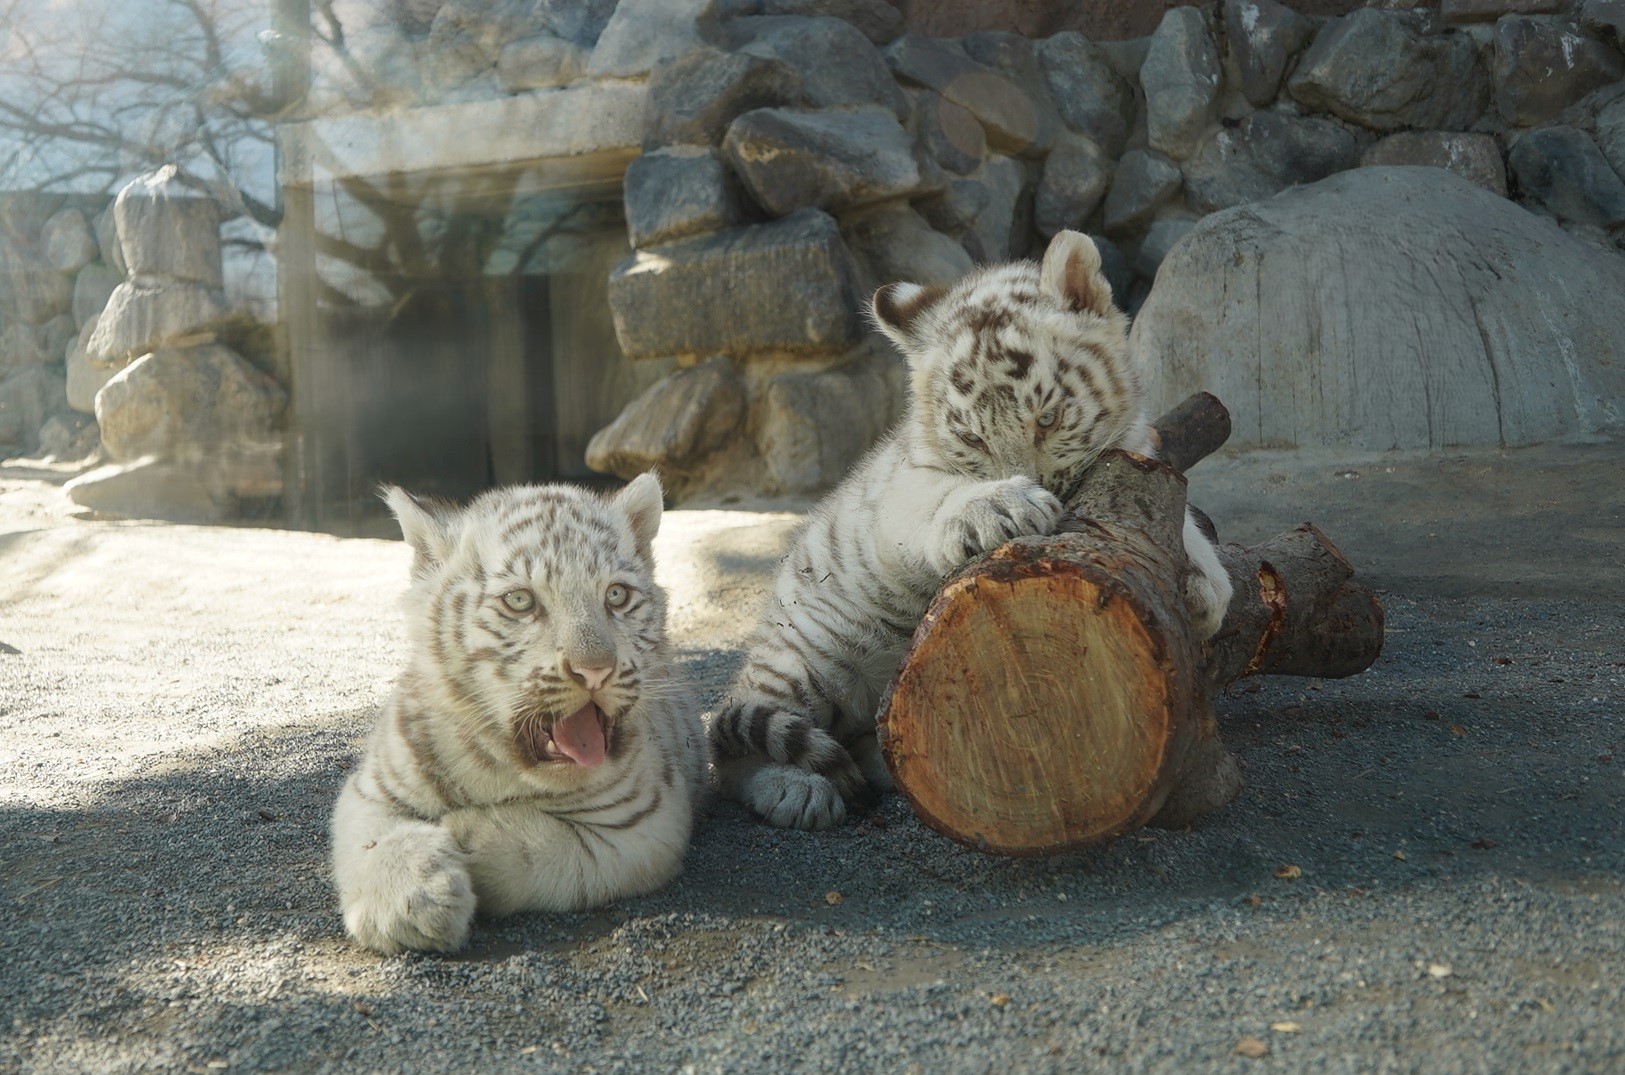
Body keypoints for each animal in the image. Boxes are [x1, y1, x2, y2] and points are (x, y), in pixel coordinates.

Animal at [329, 473, 708, 954]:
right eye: (521, 601)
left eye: (616, 595)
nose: (595, 670)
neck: (503, 767)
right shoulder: (373, 787)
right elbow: (374, 840)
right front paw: (412, 905)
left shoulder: (645, 819)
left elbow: (554, 847)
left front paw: (463, 838)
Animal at [708, 229, 1233, 831]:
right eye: (974, 439)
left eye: (1047, 419)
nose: (1044, 490)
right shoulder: (903, 488)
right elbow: (939, 496)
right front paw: (1001, 502)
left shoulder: (1137, 451)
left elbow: (1174, 511)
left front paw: (1206, 587)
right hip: (802, 662)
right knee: (730, 744)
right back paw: (797, 790)